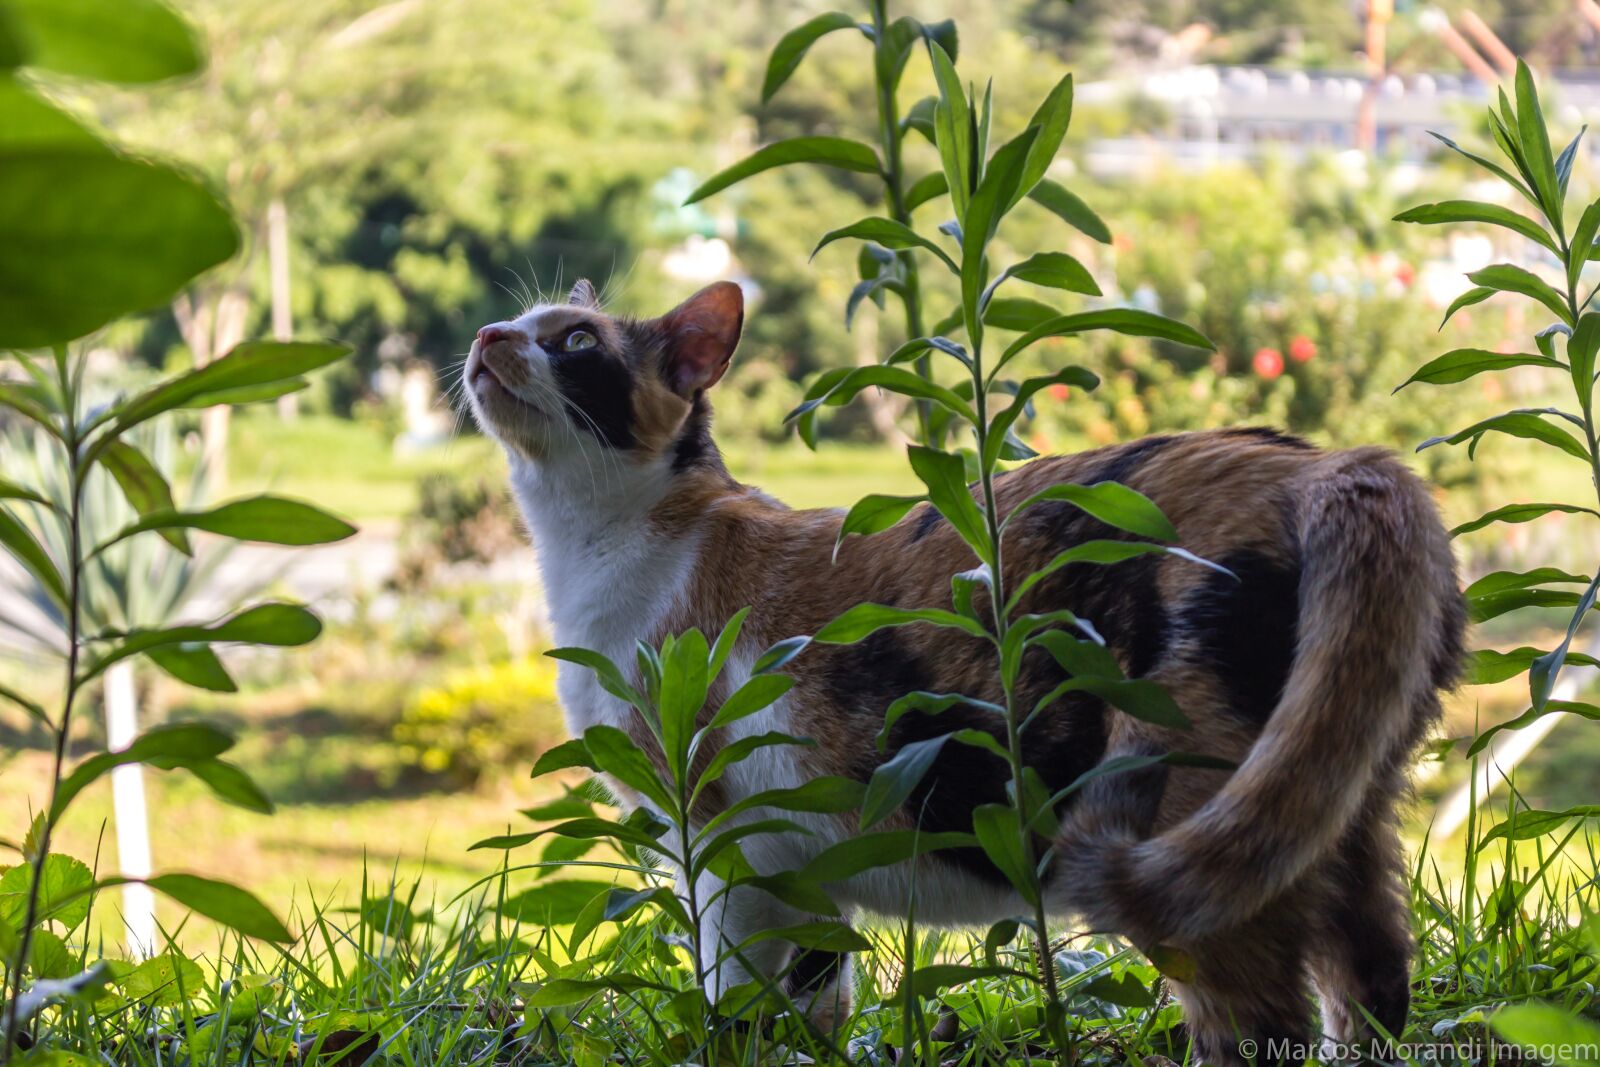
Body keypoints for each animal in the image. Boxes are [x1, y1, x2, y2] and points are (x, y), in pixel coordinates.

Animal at [464, 279, 1465, 1062]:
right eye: (518, 322)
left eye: (577, 342)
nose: (487, 335)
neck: (598, 552)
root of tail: (1329, 464)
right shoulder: (804, 868)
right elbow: (816, 1005)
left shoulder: (722, 840)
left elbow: (733, 1005)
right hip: (1333, 804)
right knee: (1373, 983)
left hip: (1185, 817)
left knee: (1259, 1019)